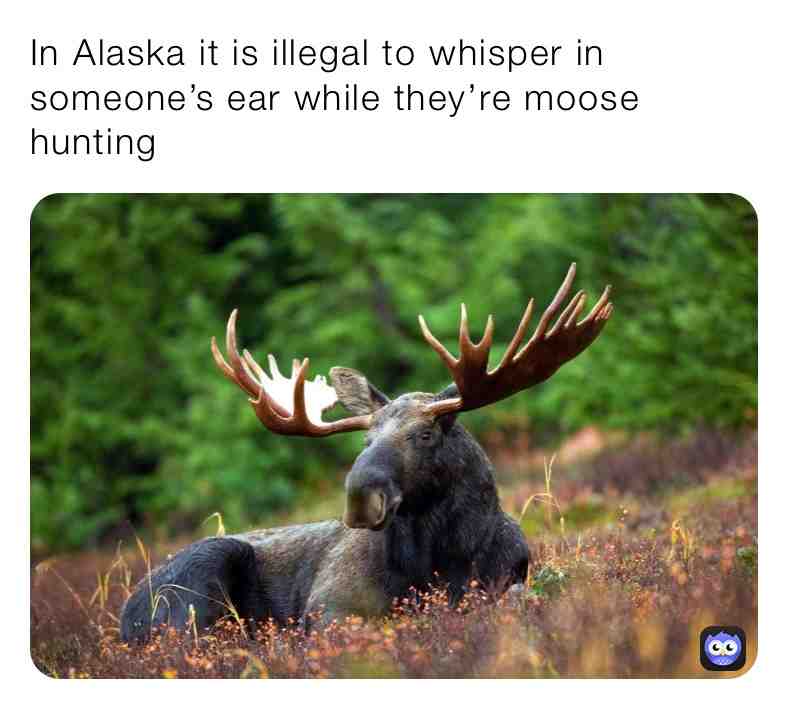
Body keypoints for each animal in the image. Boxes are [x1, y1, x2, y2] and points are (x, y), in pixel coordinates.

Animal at [120, 263, 612, 643]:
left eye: (426, 434)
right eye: (365, 440)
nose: (360, 497)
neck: (443, 560)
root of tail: (125, 617)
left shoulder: (508, 579)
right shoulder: (329, 605)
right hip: (199, 581)